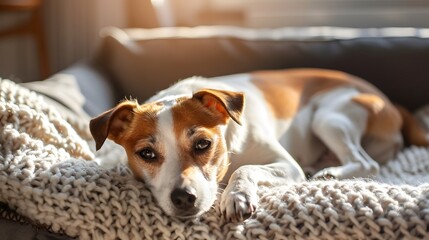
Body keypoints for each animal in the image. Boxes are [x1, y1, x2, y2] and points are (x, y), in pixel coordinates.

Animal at [88, 67, 426, 221]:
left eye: (203, 144)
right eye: (146, 153)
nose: (183, 198)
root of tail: (389, 102)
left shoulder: (286, 166)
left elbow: (246, 168)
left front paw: (236, 196)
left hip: (329, 116)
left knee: (367, 162)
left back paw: (329, 173)